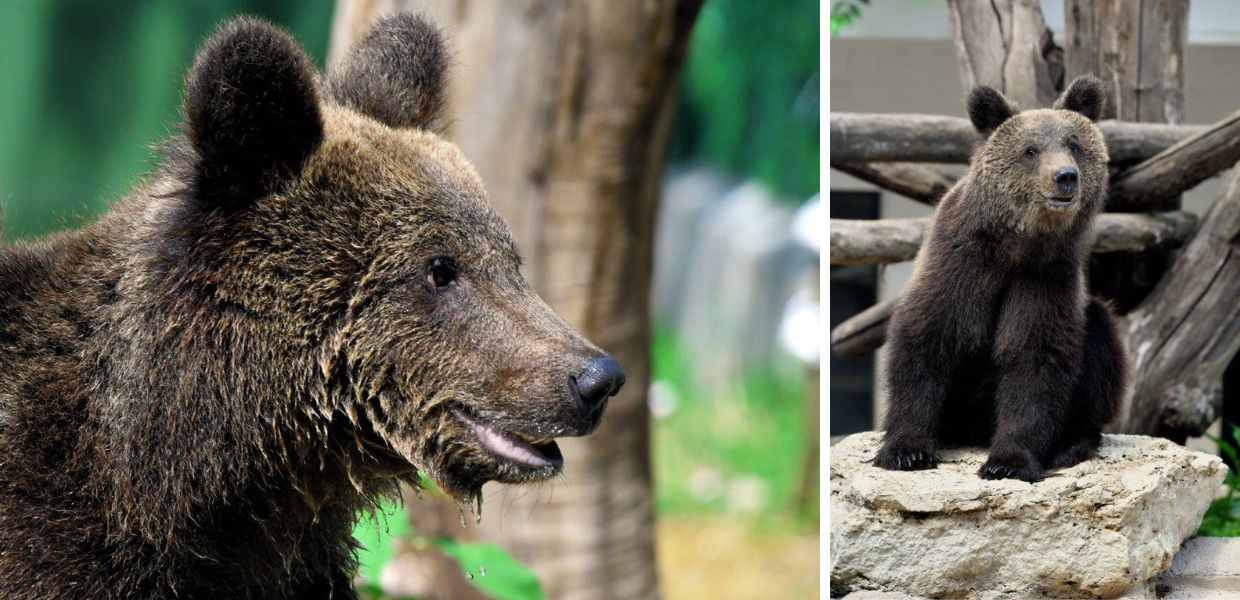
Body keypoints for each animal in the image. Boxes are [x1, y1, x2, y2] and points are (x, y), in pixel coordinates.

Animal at [874, 75, 1129, 483]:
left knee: (1101, 335)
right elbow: (924, 340)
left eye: (1074, 144)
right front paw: (906, 451)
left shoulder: (1047, 276)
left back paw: (1070, 444)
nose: (1065, 177)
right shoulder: (959, 264)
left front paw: (1008, 462)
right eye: (1030, 150)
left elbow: (1036, 358)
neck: (1015, 246)